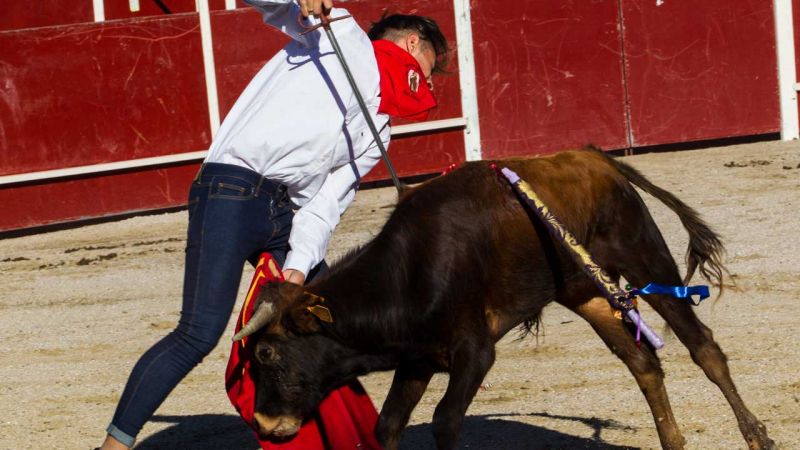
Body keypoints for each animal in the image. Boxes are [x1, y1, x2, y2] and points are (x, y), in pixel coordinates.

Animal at [234, 149, 772, 448]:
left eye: (268, 354)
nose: (262, 423)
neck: (408, 272)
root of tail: (595, 158)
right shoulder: (418, 359)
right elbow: (387, 426)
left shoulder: (474, 352)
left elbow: (445, 422)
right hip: (586, 293)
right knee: (644, 363)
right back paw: (673, 441)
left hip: (645, 257)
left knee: (703, 348)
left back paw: (756, 436)